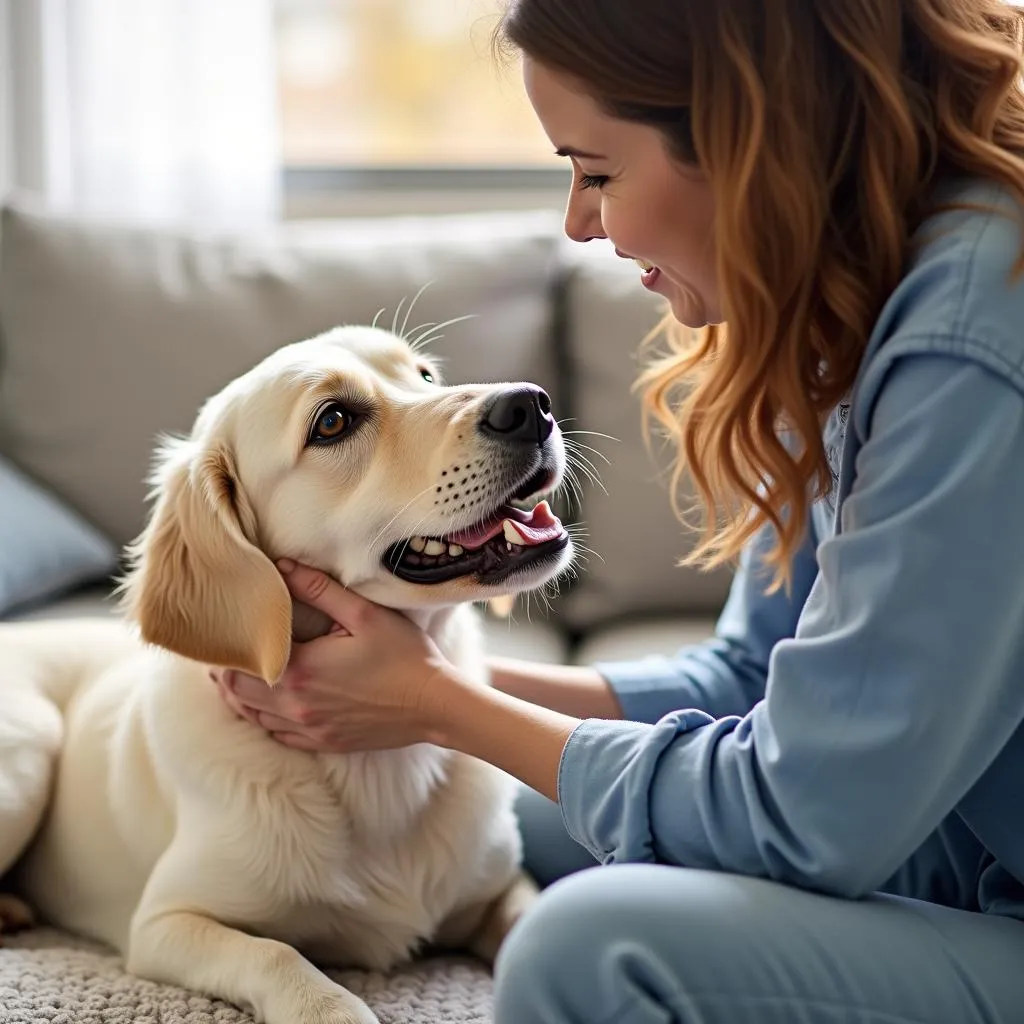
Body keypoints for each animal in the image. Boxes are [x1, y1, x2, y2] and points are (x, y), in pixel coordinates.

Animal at [0, 323, 577, 1019]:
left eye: (424, 376)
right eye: (331, 422)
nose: (531, 405)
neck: (374, 766)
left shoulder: (500, 886)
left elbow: (535, 921)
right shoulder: (166, 922)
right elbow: (277, 955)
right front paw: (332, 1006)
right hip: (29, 753)